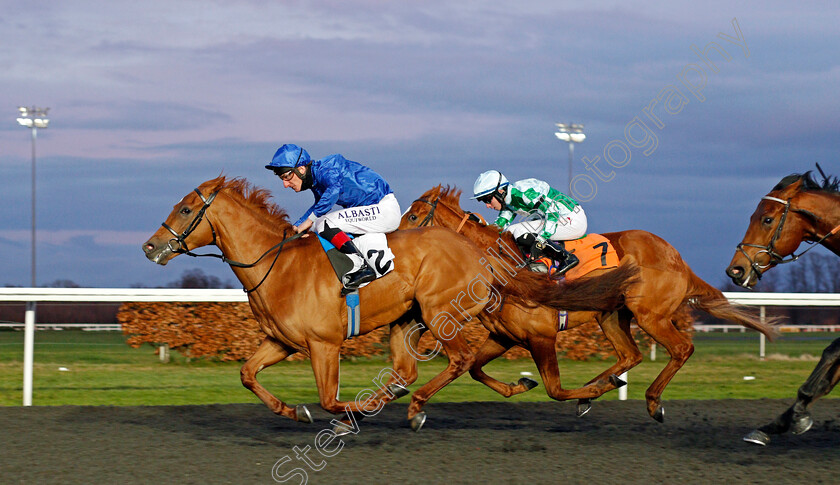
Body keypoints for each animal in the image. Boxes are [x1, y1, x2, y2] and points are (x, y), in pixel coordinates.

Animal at [143, 176, 632, 430]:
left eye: (185, 210)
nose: (150, 247)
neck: (277, 265)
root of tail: (480, 252)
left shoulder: (323, 344)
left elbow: (329, 400)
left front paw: (348, 414)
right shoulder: (281, 341)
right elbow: (247, 375)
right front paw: (292, 409)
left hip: (439, 313)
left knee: (458, 360)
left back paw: (415, 407)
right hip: (408, 319)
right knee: (410, 369)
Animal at [404, 185, 776, 420]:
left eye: (414, 217)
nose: (396, 239)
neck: (502, 267)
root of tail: (678, 258)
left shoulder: (541, 336)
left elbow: (554, 389)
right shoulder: (503, 336)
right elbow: (476, 370)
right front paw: (522, 383)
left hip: (650, 315)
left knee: (681, 349)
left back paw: (650, 401)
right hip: (610, 315)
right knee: (630, 355)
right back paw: (598, 386)